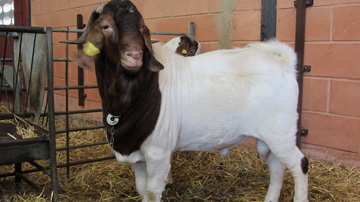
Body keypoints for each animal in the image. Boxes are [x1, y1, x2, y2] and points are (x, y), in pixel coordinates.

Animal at [69, 0, 310, 201]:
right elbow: (141, 189)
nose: (135, 55)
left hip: (281, 131)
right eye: (106, 26)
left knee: (300, 164)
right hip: (271, 137)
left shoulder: (158, 152)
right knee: (277, 167)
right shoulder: (137, 155)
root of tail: (282, 62)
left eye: (141, 27)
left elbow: (152, 192)